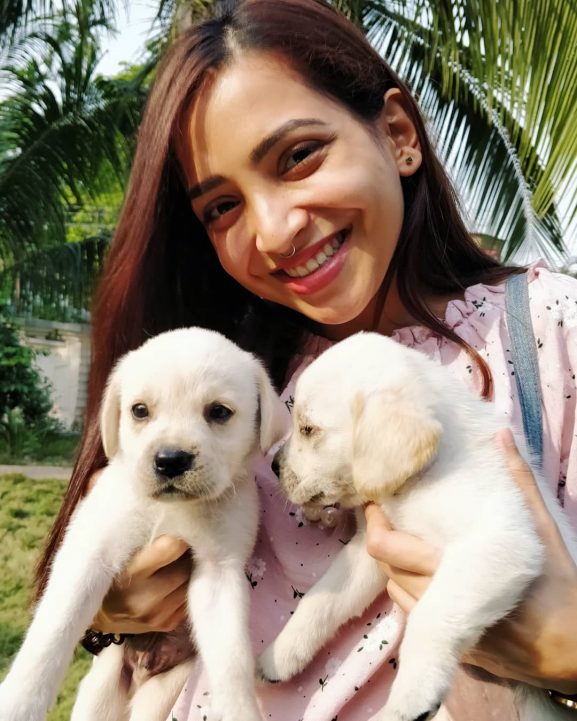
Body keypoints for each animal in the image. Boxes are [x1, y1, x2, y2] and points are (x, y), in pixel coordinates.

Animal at [0, 328, 288, 720]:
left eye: (219, 412)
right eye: (139, 410)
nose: (170, 460)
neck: (171, 509)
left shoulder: (219, 572)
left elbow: (232, 663)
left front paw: (240, 710)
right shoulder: (89, 553)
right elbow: (51, 634)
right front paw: (18, 702)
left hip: (158, 696)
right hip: (99, 694)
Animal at [260, 332, 576, 720]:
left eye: (308, 428)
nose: (273, 466)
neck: (420, 479)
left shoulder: (501, 539)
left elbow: (433, 613)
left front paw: (410, 695)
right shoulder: (372, 549)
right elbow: (320, 601)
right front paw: (280, 654)